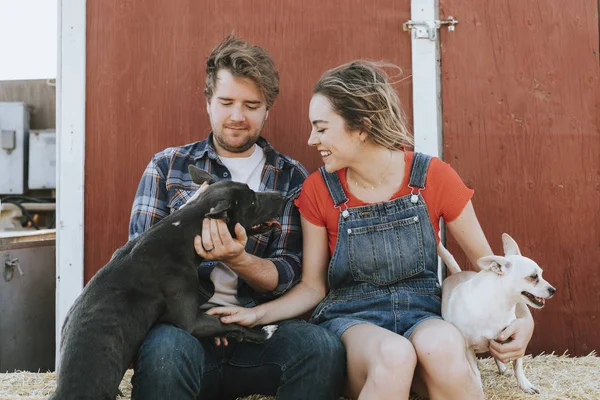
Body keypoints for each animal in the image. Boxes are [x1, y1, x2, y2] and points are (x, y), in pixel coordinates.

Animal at [49, 165, 286, 400]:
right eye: (252, 202)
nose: (281, 195)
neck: (182, 231)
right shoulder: (192, 321)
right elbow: (230, 323)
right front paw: (264, 331)